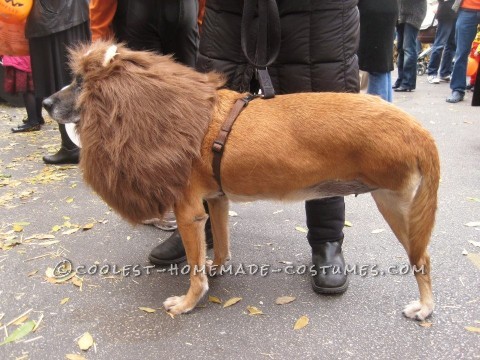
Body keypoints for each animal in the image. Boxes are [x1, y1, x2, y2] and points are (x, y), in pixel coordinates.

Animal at [43, 40, 440, 320]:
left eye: (80, 82)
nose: (46, 103)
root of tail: (418, 130)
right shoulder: (216, 201)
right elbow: (219, 246)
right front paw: (217, 269)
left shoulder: (188, 212)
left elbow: (194, 270)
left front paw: (188, 302)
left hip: (396, 204)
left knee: (421, 259)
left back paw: (424, 307)